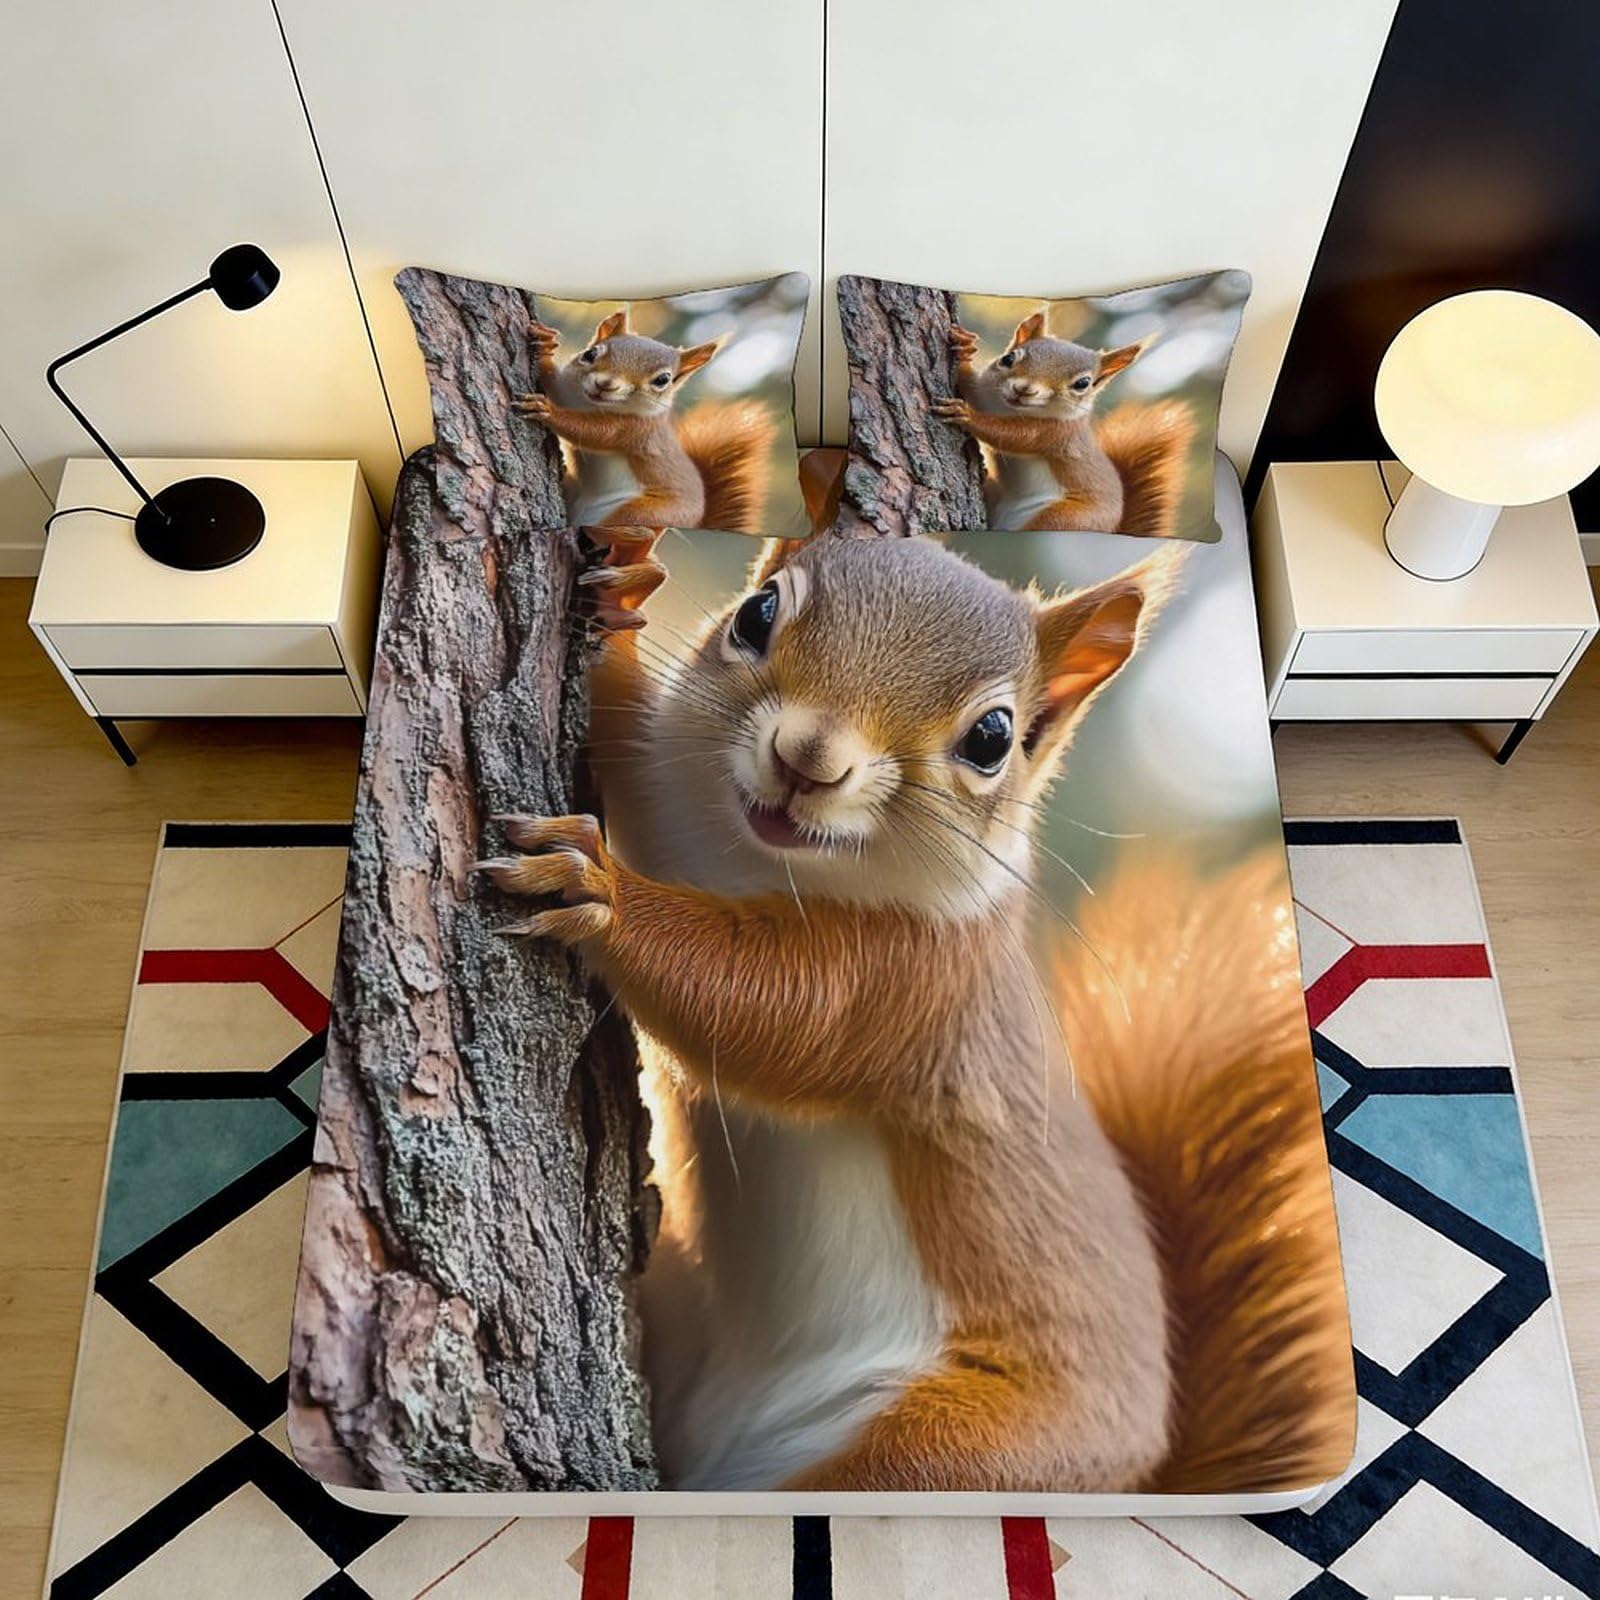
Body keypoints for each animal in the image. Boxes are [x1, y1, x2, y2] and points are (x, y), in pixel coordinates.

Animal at [476, 530, 1351, 1494]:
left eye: (992, 737)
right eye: (756, 614)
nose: (805, 759)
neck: (765, 863)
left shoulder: (915, 984)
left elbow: (765, 1010)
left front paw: (601, 896)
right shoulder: (679, 802)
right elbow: (631, 756)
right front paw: (622, 595)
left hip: (955, 1455)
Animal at [512, 310, 776, 531]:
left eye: (662, 380)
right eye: (590, 353)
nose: (604, 385)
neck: (593, 405)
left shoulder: (637, 429)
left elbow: (592, 432)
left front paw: (547, 411)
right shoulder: (570, 390)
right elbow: (554, 383)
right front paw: (545, 346)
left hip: (647, 514)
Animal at [933, 313, 1196, 537]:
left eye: (1082, 384)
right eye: (1008, 358)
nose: (1023, 390)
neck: (1011, 409)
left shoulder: (1057, 433)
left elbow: (1012, 435)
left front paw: (967, 415)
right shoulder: (988, 394)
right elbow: (971, 387)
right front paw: (965, 349)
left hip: (1066, 519)